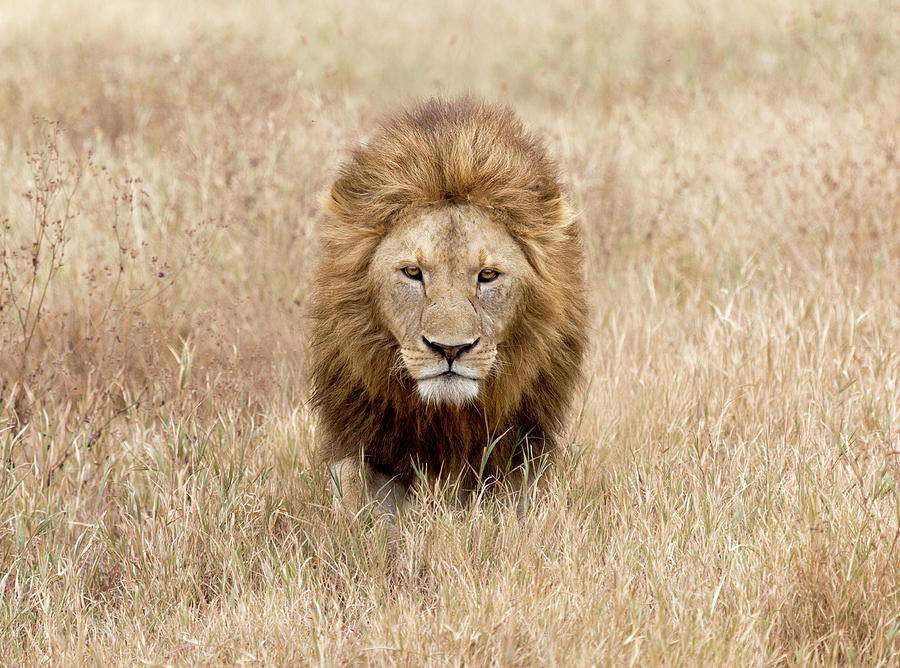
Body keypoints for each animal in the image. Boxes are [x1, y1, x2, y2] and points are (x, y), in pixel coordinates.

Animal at [310, 96, 592, 516]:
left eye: (488, 275)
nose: (450, 349)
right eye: (412, 272)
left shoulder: (520, 449)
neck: (446, 419)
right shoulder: (364, 442)